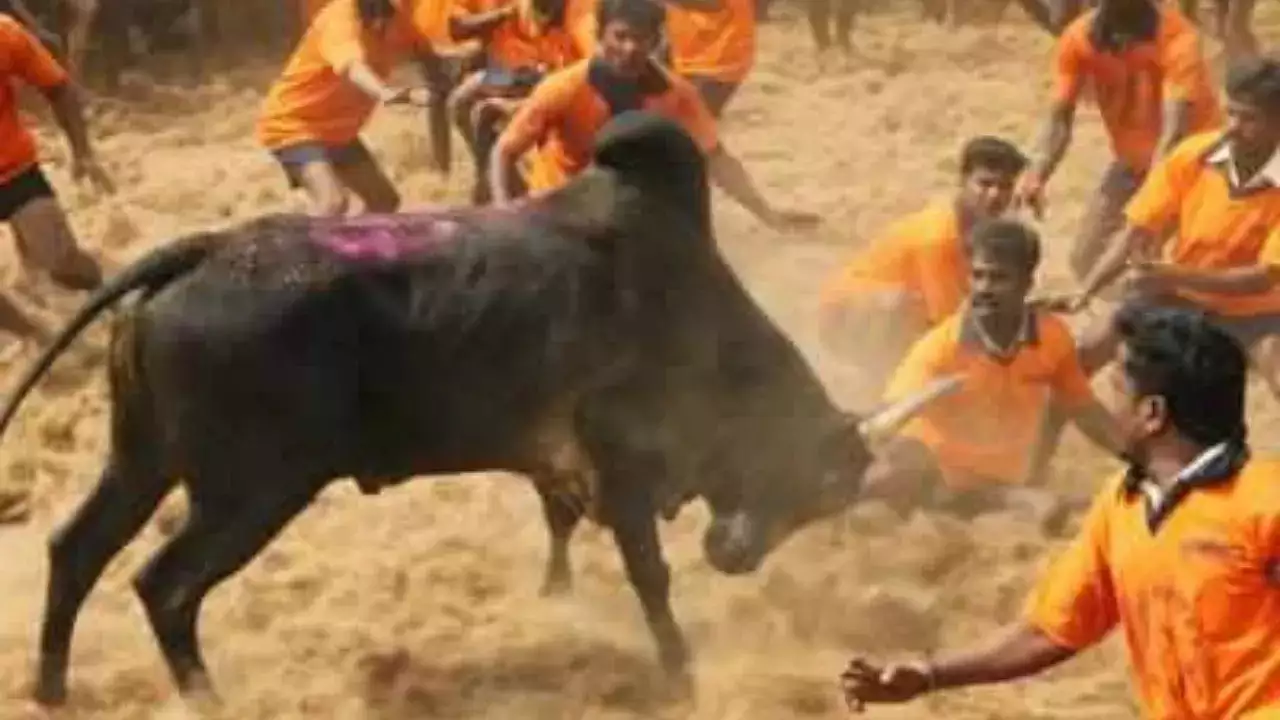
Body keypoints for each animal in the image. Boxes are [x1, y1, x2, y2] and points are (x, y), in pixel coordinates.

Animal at [0, 112, 957, 702]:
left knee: (75, 549)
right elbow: (648, 575)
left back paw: (51, 689)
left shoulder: (553, 461)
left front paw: (558, 596)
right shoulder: (623, 464)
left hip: (143, 460)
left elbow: (559, 528)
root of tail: (198, 254)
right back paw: (205, 699)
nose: (736, 555)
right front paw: (681, 673)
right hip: (248, 491)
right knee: (164, 587)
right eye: (819, 482)